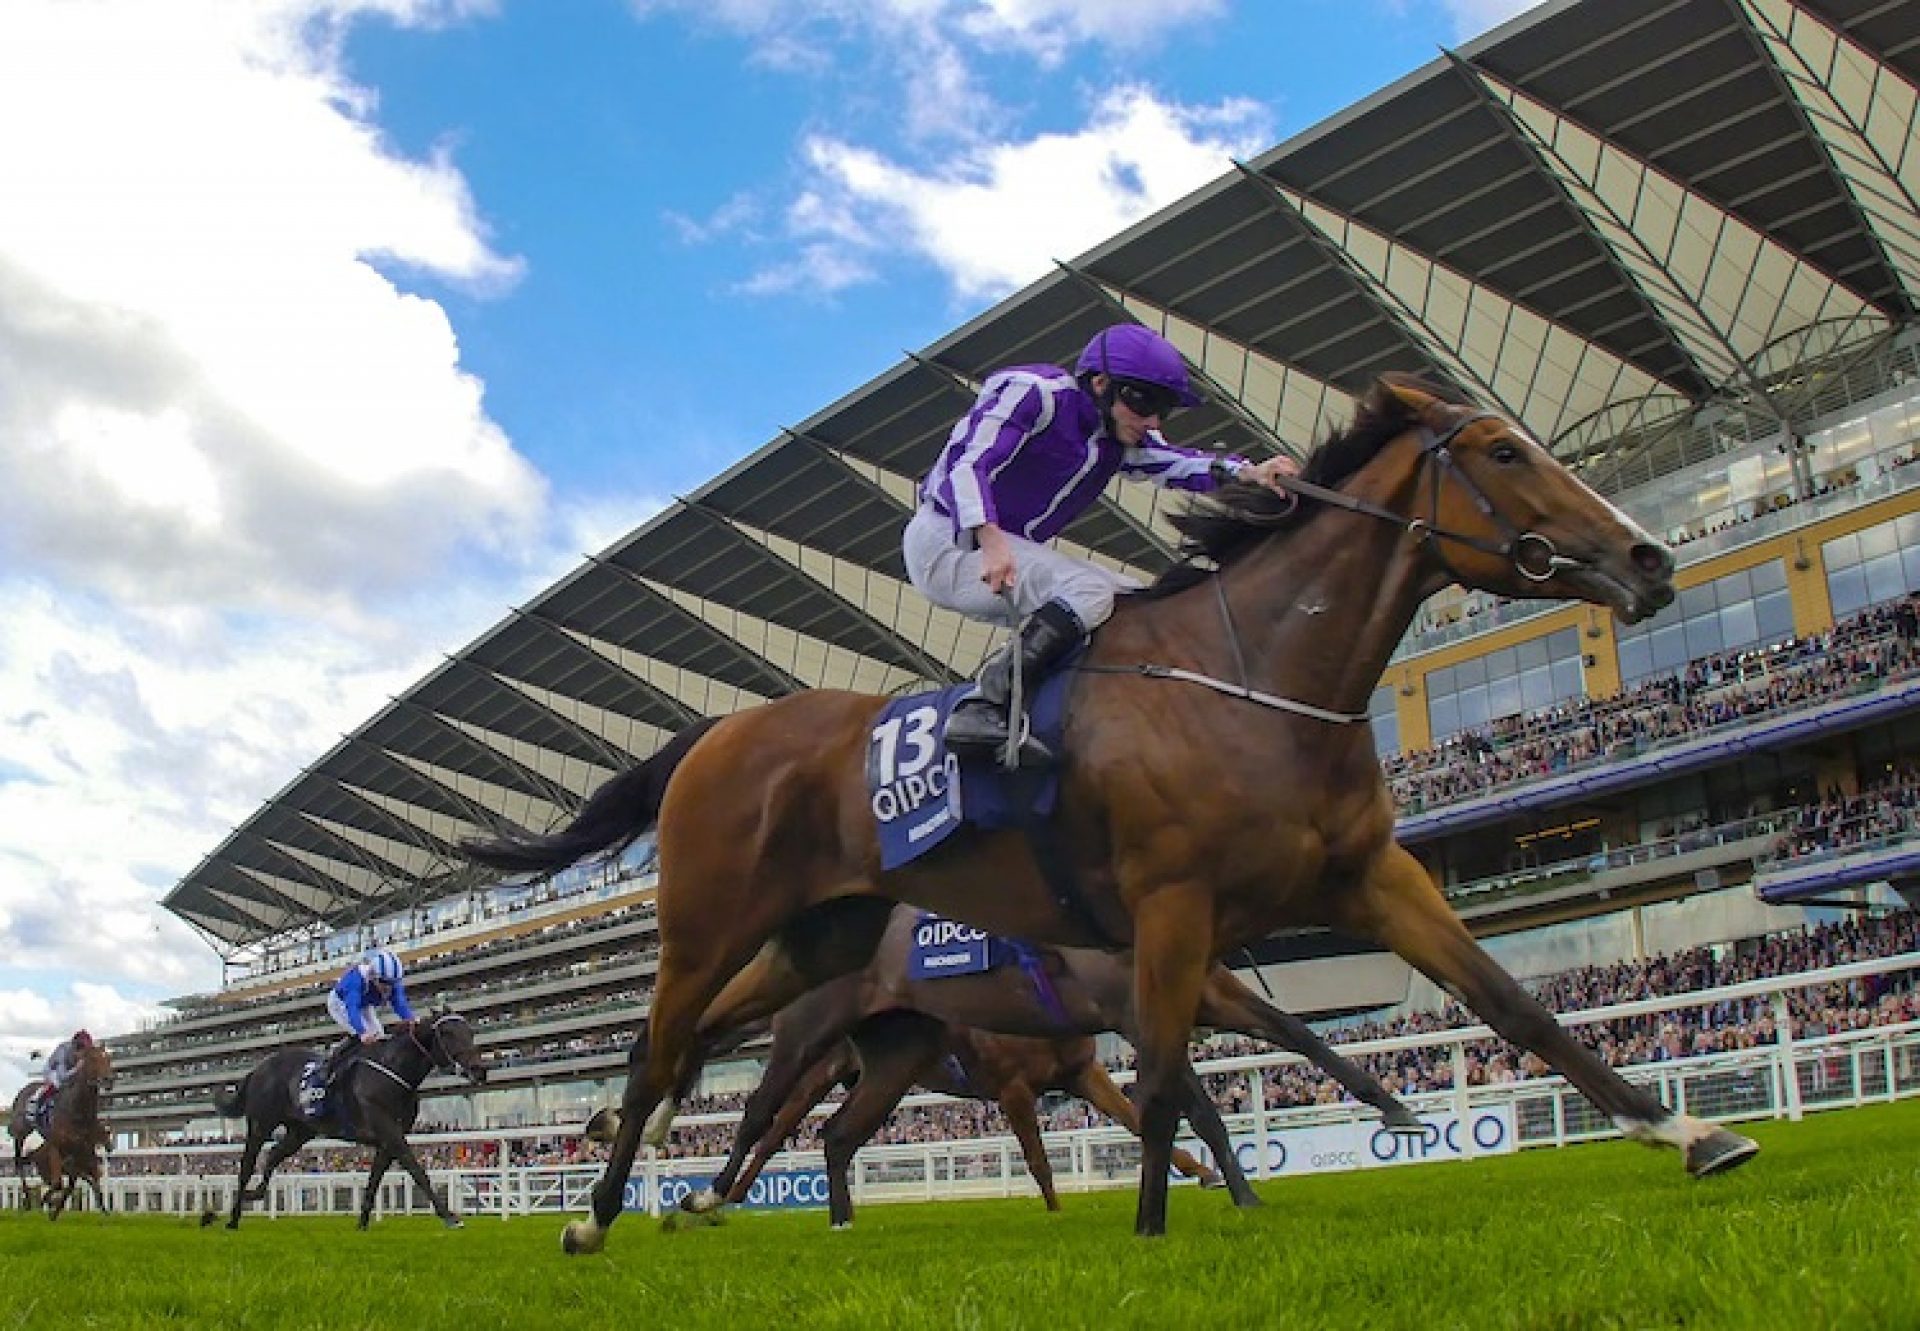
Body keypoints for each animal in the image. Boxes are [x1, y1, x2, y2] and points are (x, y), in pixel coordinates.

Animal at [8, 1044, 114, 1221]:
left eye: (108, 1058)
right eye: (93, 1059)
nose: (108, 1080)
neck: (76, 1112)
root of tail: (23, 1090)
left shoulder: (80, 1152)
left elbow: (72, 1184)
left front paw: (54, 1211)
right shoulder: (56, 1147)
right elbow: (59, 1183)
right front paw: (45, 1204)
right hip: (21, 1132)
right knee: (18, 1161)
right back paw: (28, 1201)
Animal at [203, 1006, 483, 1221]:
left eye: (470, 1032)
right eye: (446, 1032)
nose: (479, 1069)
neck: (392, 1071)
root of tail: (257, 1069)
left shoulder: (387, 1139)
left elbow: (375, 1178)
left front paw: (362, 1224)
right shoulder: (390, 1132)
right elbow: (416, 1169)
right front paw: (449, 1216)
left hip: (300, 1131)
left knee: (273, 1155)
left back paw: (254, 1194)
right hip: (261, 1123)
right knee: (247, 1165)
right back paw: (232, 1217)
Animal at [672, 902, 1413, 1213]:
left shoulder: (1092, 1062)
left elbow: (1298, 1035)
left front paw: (1392, 1107)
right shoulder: (1029, 1078)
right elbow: (1048, 1151)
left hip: (889, 1064)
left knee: (831, 1135)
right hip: (811, 1048)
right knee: (764, 1118)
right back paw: (710, 1193)